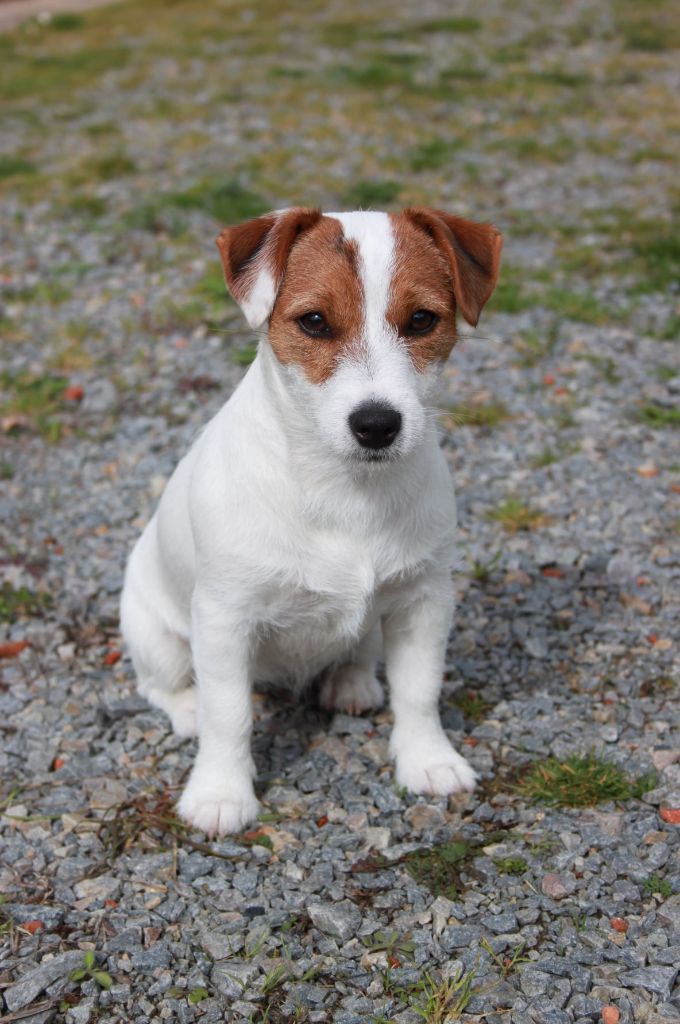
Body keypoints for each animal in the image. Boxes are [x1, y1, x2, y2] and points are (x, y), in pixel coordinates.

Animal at [119, 205, 501, 831]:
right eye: (315, 322)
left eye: (422, 320)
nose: (377, 425)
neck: (345, 490)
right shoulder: (224, 620)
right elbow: (229, 713)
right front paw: (221, 795)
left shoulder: (424, 600)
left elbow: (419, 690)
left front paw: (428, 761)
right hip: (154, 632)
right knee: (163, 686)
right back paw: (187, 709)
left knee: (361, 650)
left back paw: (352, 683)